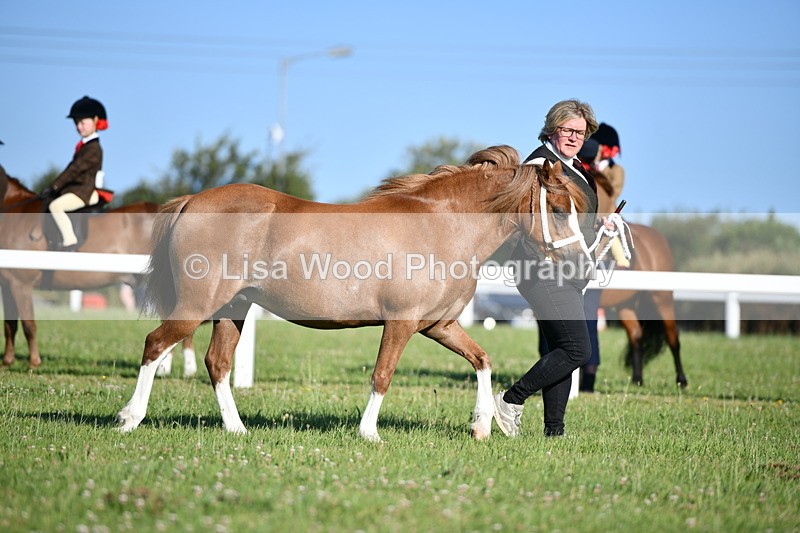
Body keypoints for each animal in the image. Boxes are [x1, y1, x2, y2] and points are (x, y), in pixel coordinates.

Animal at [0, 175, 198, 374]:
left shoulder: (20, 283)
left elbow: (28, 325)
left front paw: (34, 363)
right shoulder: (7, 285)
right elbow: (10, 325)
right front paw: (7, 361)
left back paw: (187, 370)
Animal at [117, 145, 591, 441]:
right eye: (559, 210)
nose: (582, 267)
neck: (441, 225)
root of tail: (191, 201)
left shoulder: (439, 325)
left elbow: (483, 361)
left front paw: (482, 427)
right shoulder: (401, 323)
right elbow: (382, 375)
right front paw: (369, 433)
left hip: (235, 308)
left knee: (217, 363)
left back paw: (237, 429)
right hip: (197, 306)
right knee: (155, 344)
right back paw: (128, 418)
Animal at [594, 174, 687, 388]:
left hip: (662, 298)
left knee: (672, 336)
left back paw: (681, 380)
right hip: (625, 304)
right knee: (636, 336)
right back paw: (637, 379)